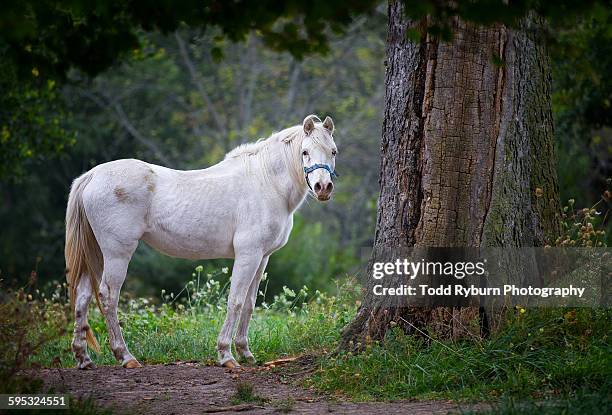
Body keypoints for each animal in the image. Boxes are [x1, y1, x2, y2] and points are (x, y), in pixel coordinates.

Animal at [65, 114, 340, 370]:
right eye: (305, 151)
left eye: (333, 151)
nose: (323, 187)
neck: (265, 182)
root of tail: (92, 175)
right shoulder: (248, 255)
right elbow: (235, 301)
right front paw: (226, 355)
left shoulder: (262, 257)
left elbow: (249, 304)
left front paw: (245, 352)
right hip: (117, 253)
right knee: (108, 296)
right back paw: (125, 356)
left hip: (97, 254)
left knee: (83, 295)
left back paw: (83, 358)